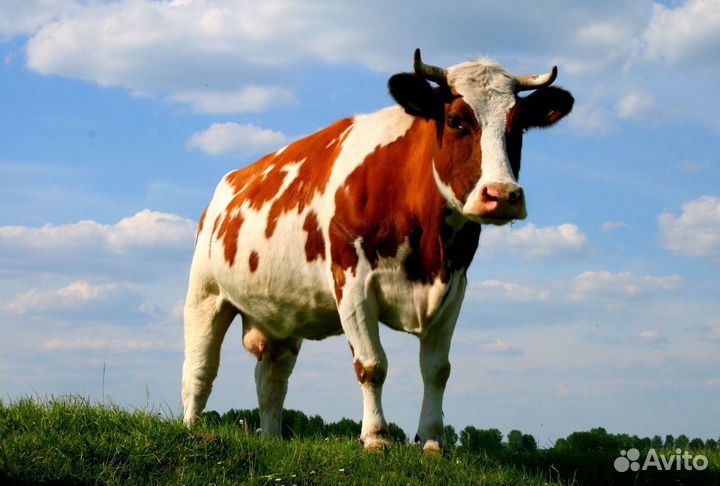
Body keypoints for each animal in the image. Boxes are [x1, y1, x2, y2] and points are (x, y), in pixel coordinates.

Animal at [182, 49, 573, 452]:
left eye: (519, 127)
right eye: (456, 121)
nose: (503, 195)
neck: (428, 255)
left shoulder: (455, 287)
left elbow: (437, 370)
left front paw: (433, 442)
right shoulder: (352, 281)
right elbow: (371, 366)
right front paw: (376, 437)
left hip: (281, 314)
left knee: (272, 378)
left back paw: (273, 439)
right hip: (205, 293)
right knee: (200, 369)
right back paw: (191, 429)